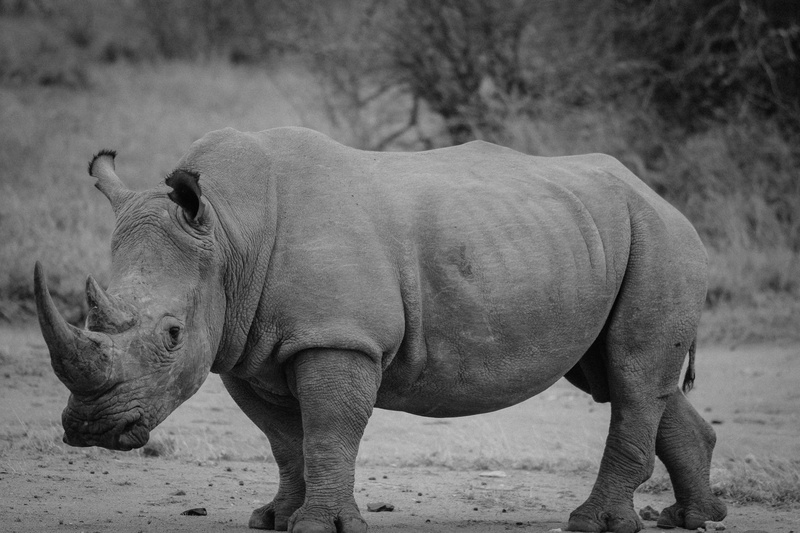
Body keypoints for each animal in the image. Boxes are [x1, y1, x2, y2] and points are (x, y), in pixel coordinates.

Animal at [35, 127, 727, 533]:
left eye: (172, 335)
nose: (91, 429)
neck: (229, 232)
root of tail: (660, 196)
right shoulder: (245, 346)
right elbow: (284, 439)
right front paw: (275, 518)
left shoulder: (338, 335)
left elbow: (328, 430)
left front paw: (319, 526)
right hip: (597, 237)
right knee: (620, 374)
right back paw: (690, 518)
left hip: (661, 240)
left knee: (631, 375)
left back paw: (592, 523)